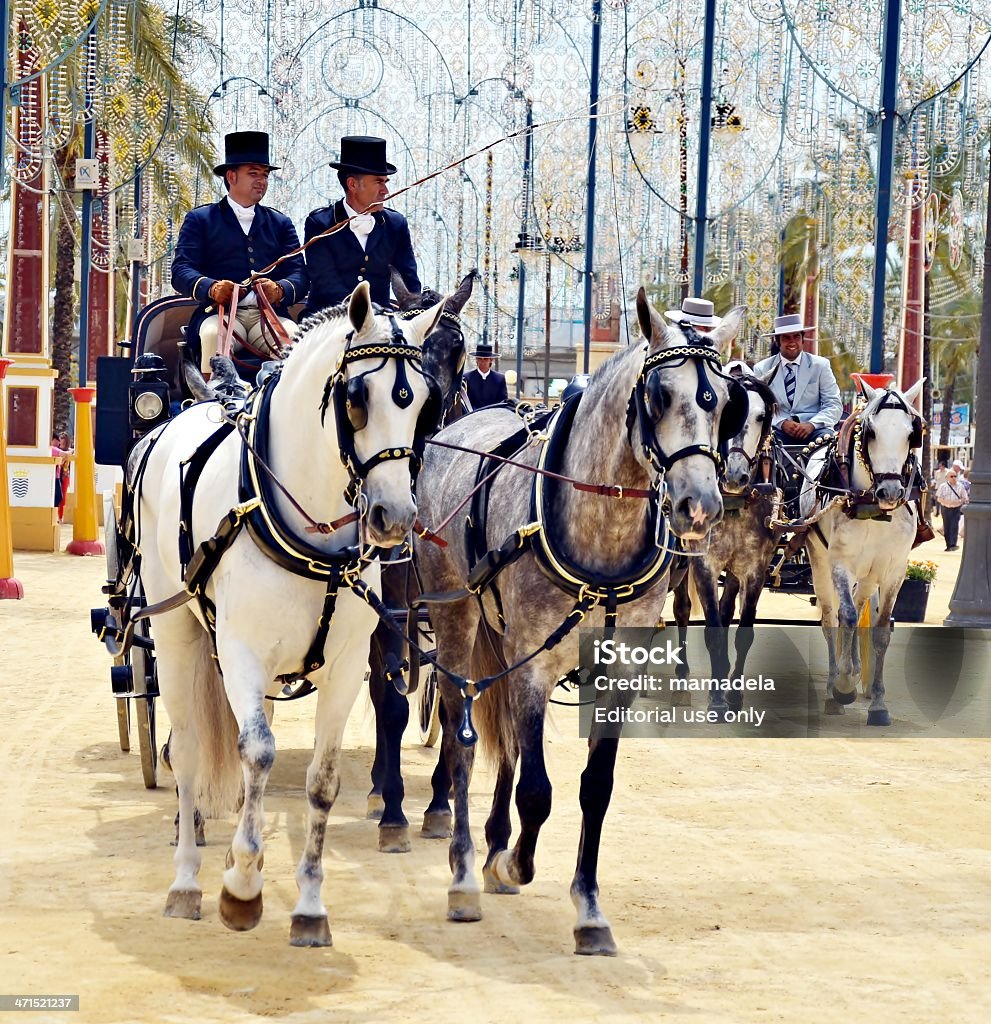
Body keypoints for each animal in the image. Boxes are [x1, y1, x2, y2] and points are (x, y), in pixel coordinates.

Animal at [129, 284, 440, 946]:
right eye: (357, 400)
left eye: (424, 405)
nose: (395, 517)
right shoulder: (242, 651)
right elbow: (259, 752)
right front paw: (242, 886)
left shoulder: (346, 665)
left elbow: (321, 780)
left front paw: (309, 905)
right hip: (176, 630)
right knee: (187, 751)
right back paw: (187, 880)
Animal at [802, 378, 925, 729]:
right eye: (869, 432)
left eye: (912, 433)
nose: (891, 492)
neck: (872, 507)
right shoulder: (840, 563)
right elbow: (845, 617)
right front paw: (842, 688)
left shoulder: (895, 569)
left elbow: (880, 629)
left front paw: (878, 703)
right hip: (819, 561)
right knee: (831, 616)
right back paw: (835, 685)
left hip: (870, 572)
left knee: (858, 607)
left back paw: (856, 670)